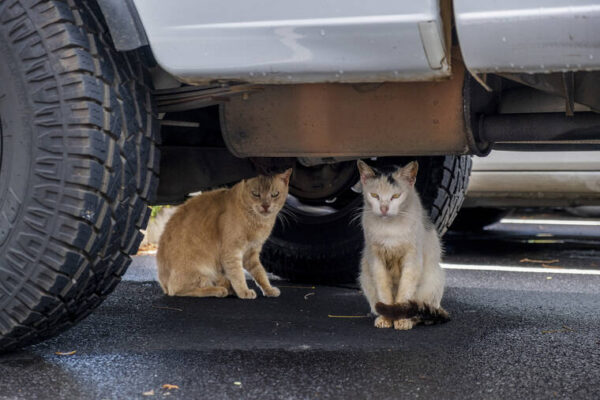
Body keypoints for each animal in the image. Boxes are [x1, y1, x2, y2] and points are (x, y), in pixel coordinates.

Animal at [157, 170, 292, 298]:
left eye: (275, 194)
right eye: (256, 194)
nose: (265, 205)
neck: (258, 222)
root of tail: (163, 284)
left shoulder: (251, 253)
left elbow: (260, 273)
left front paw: (268, 289)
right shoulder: (231, 252)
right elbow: (238, 274)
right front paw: (244, 291)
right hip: (199, 270)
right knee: (180, 290)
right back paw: (219, 290)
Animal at [356, 160, 450, 332]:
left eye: (395, 196)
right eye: (374, 195)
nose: (384, 208)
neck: (390, 230)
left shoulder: (412, 259)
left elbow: (405, 292)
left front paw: (401, 320)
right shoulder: (375, 259)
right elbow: (384, 290)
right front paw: (386, 319)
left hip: (434, 279)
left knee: (422, 310)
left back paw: (412, 318)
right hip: (365, 276)